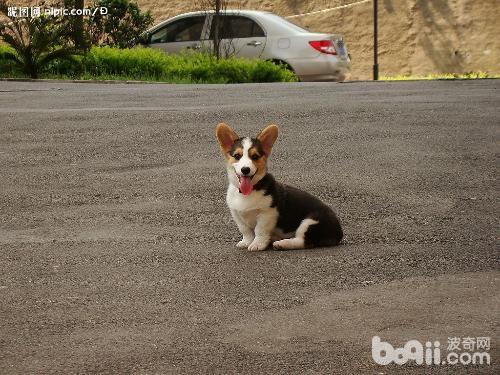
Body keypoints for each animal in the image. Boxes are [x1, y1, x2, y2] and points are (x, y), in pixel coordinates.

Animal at [215, 124, 344, 253]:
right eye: (237, 156)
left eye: (255, 156)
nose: (245, 170)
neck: (250, 190)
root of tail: (339, 232)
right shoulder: (236, 214)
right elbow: (245, 231)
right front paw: (246, 242)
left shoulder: (267, 213)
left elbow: (260, 231)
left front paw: (257, 244)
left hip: (310, 221)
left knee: (303, 241)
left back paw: (282, 244)